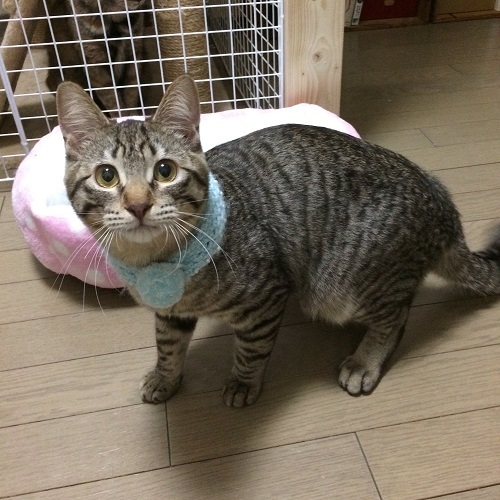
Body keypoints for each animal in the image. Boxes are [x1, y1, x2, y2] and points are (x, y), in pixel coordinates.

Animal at [56, 75, 500, 408]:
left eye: (165, 171)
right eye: (107, 176)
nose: (138, 204)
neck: (155, 264)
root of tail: (443, 206)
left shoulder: (265, 295)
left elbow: (252, 348)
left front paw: (242, 382)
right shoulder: (170, 312)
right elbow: (168, 345)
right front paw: (165, 378)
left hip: (352, 285)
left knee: (398, 315)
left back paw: (365, 360)